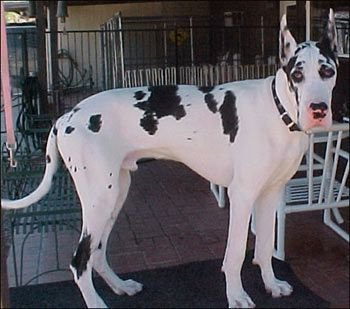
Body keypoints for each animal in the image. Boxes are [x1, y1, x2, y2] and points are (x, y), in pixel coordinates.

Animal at [1, 9, 338, 306]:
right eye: (297, 74)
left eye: (328, 71)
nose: (318, 110)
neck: (277, 110)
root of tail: (66, 117)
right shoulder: (242, 196)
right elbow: (235, 254)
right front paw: (237, 296)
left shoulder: (269, 194)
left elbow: (266, 247)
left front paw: (271, 284)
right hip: (100, 199)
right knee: (79, 260)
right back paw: (97, 302)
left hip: (115, 194)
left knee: (96, 253)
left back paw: (121, 286)